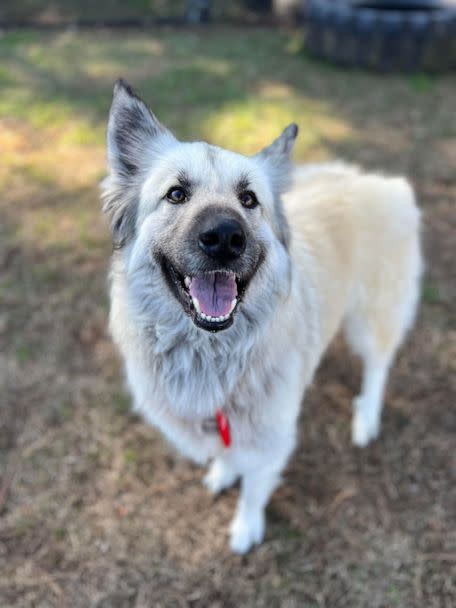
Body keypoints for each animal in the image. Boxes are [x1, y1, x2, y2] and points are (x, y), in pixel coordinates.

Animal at [101, 81, 422, 556]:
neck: (211, 355)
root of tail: (379, 181)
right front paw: (222, 473)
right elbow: (227, 454)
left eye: (248, 199)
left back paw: (366, 418)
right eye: (176, 194)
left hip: (371, 316)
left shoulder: (271, 436)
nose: (224, 237)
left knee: (378, 366)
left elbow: (254, 486)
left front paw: (245, 527)